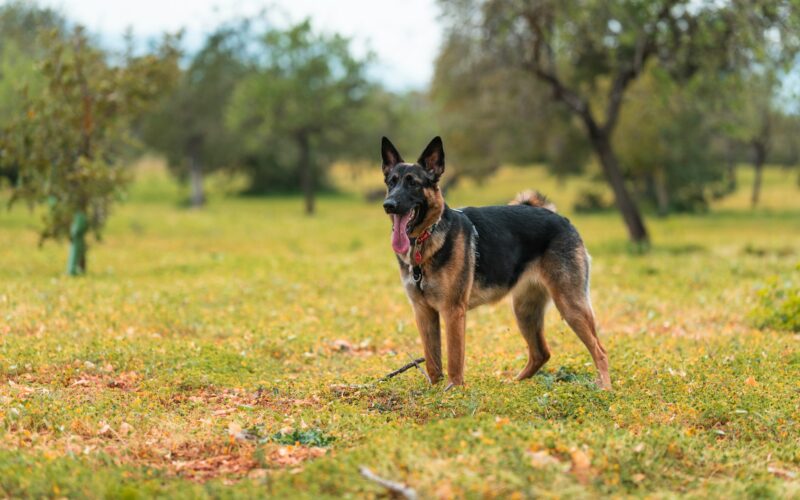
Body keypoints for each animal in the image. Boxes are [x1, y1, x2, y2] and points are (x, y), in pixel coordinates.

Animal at [382, 136, 612, 390]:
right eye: (391, 183)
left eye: (413, 184)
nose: (388, 204)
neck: (426, 239)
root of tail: (561, 219)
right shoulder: (423, 312)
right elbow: (433, 361)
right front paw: (434, 391)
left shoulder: (453, 311)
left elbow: (454, 359)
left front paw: (453, 391)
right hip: (524, 310)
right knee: (541, 353)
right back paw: (515, 384)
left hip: (570, 305)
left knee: (599, 350)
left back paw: (606, 389)